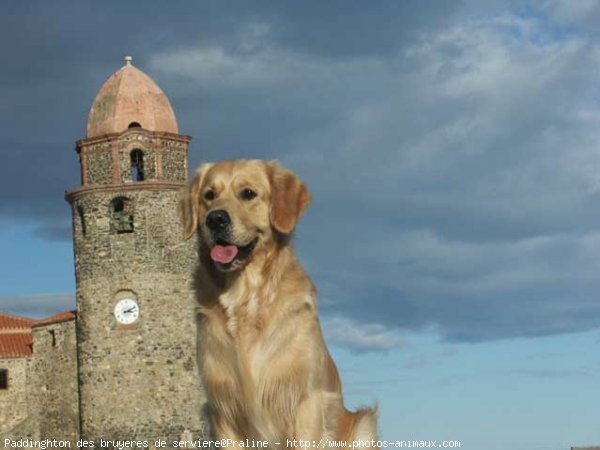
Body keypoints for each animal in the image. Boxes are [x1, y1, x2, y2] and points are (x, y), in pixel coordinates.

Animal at [179, 160, 376, 444]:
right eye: (209, 195)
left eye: (248, 193)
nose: (215, 219)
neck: (245, 298)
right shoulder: (222, 409)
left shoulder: (306, 402)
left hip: (364, 423)